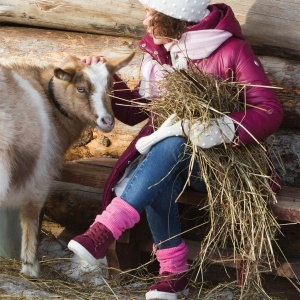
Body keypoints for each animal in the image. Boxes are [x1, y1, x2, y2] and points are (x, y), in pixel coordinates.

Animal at [0, 51, 135, 276]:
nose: (107, 121)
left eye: (111, 87)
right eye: (81, 89)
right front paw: (30, 266)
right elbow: (31, 214)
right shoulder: (42, 174)